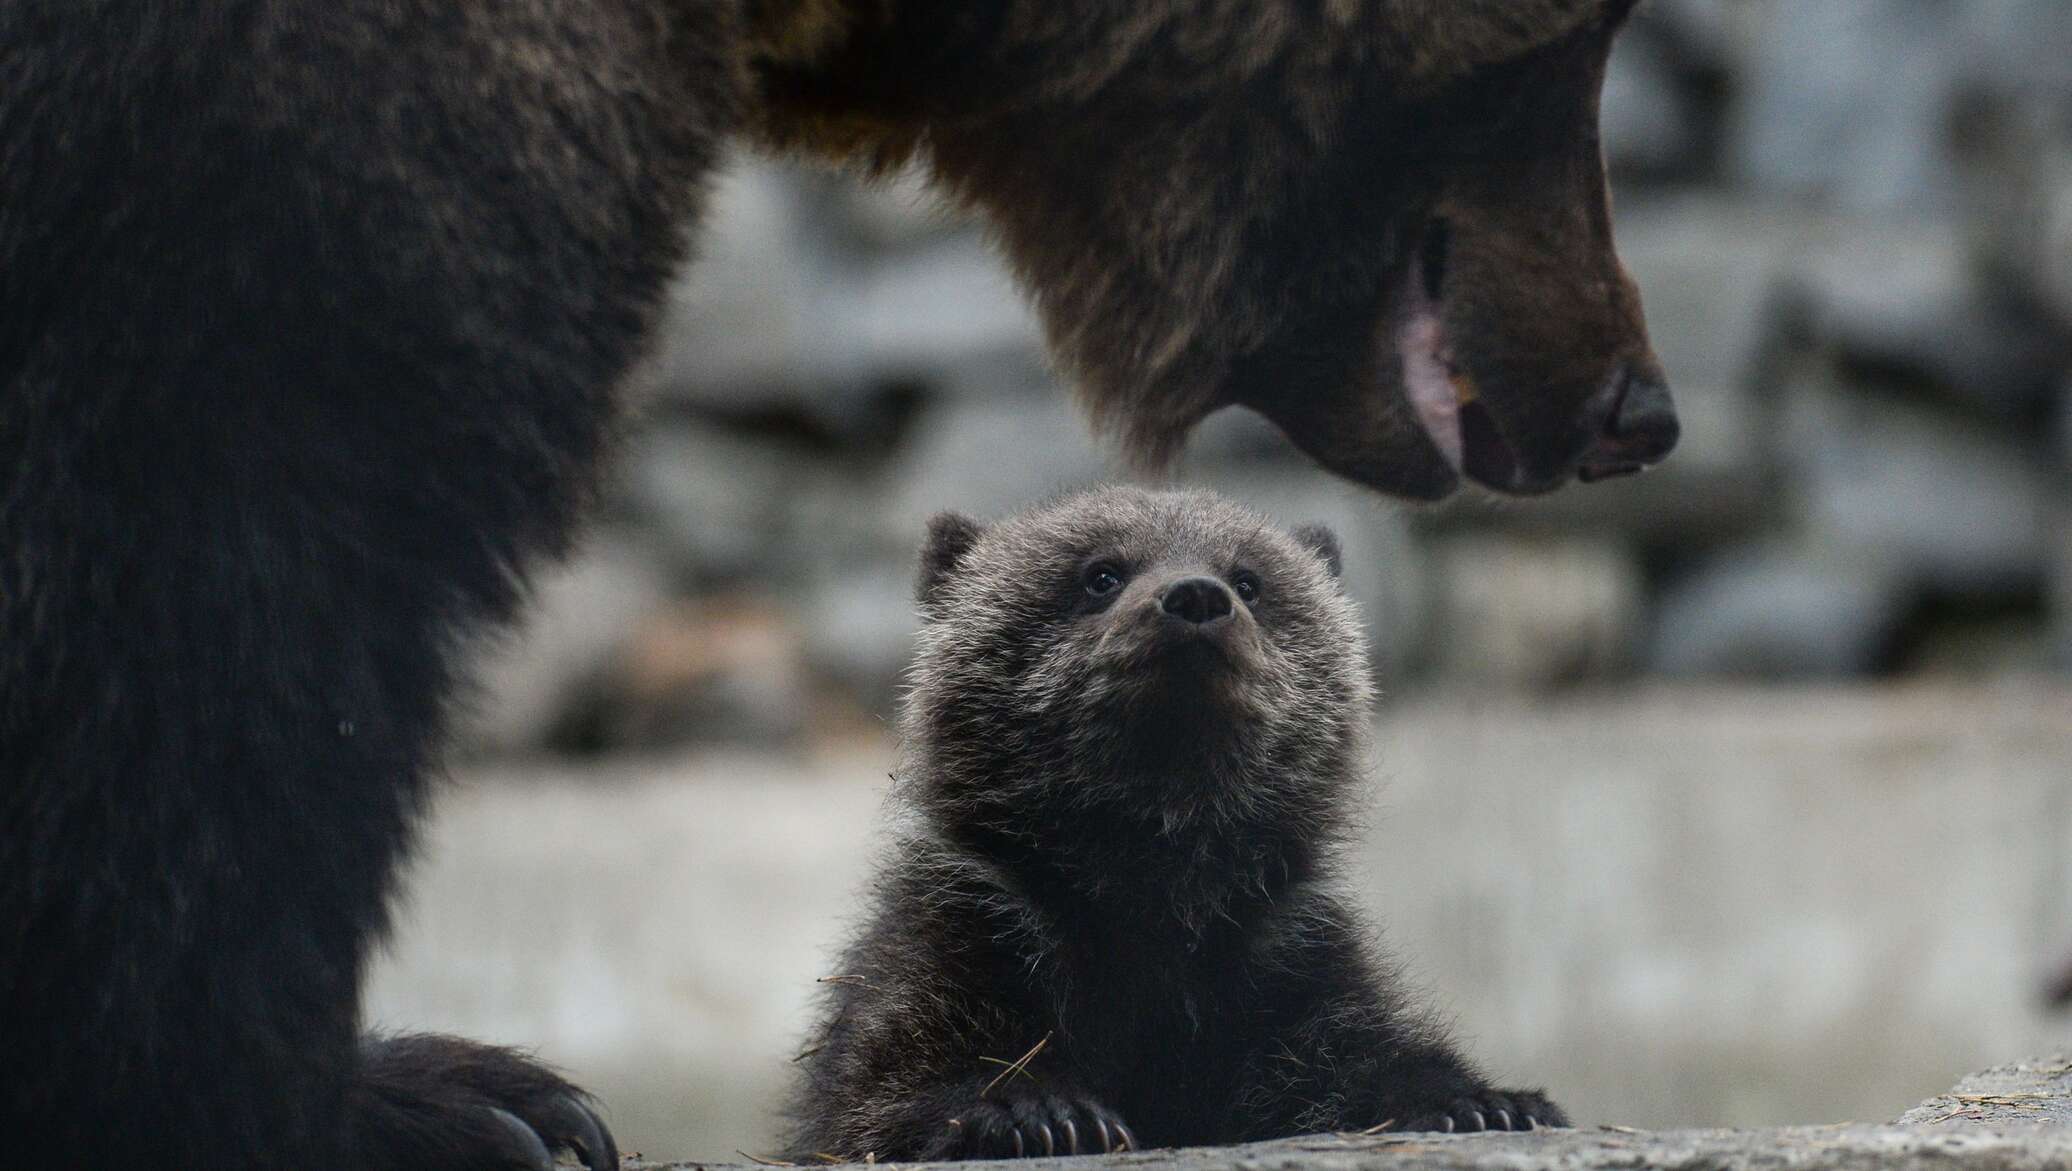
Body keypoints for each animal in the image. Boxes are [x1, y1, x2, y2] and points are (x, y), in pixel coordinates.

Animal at [0, 2, 1665, 1168]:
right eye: (1096, 570)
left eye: (1250, 575)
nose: (1632, 405)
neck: (1146, 901)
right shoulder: (966, 952)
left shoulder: (1271, 970)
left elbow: (1357, 1054)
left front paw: (1490, 1090)